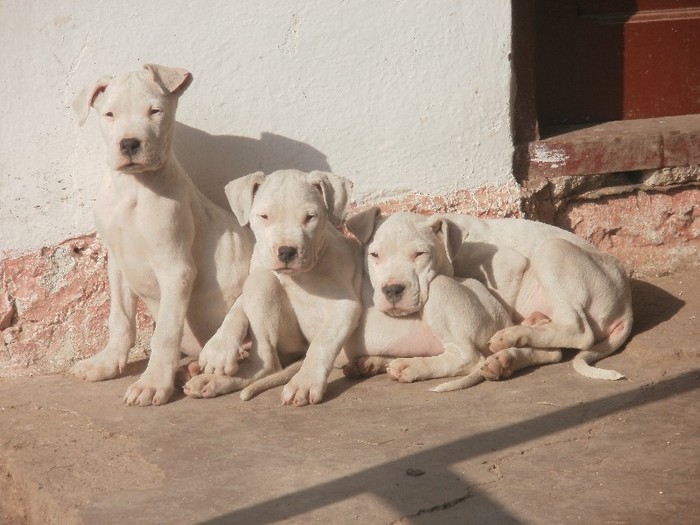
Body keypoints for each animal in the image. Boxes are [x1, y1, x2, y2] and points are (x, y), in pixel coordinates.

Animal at [70, 62, 254, 406]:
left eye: (155, 112)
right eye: (110, 114)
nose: (129, 144)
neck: (132, 189)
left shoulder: (175, 269)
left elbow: (165, 335)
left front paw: (153, 383)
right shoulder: (117, 263)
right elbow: (120, 320)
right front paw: (107, 363)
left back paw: (211, 379)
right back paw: (191, 370)